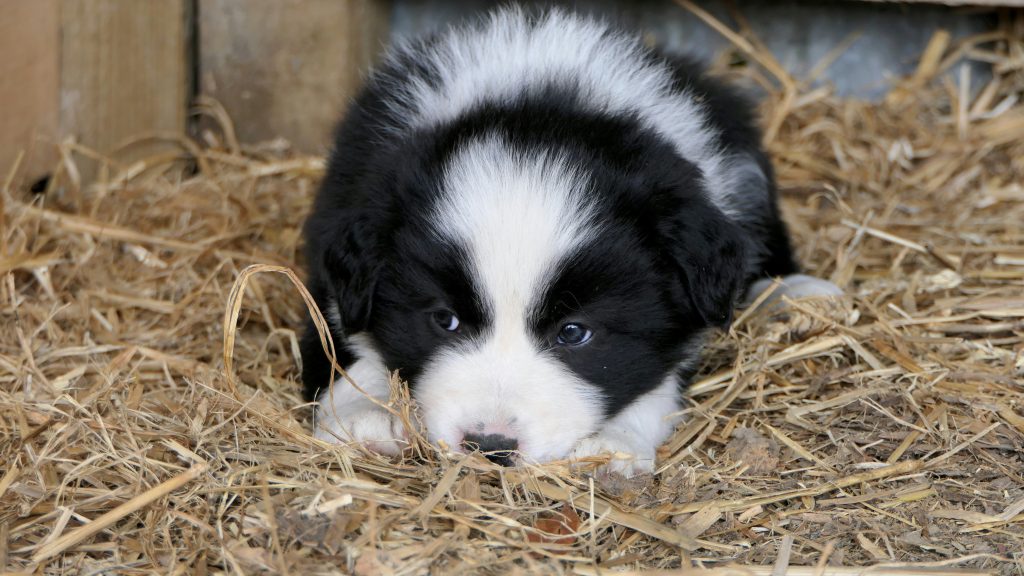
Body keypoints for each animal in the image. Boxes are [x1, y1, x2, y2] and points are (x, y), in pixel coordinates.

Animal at [299, 7, 839, 475]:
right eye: (444, 320)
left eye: (574, 333)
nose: (490, 446)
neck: (541, 96)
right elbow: (345, 342)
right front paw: (365, 413)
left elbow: (658, 376)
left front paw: (613, 443)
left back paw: (797, 295)